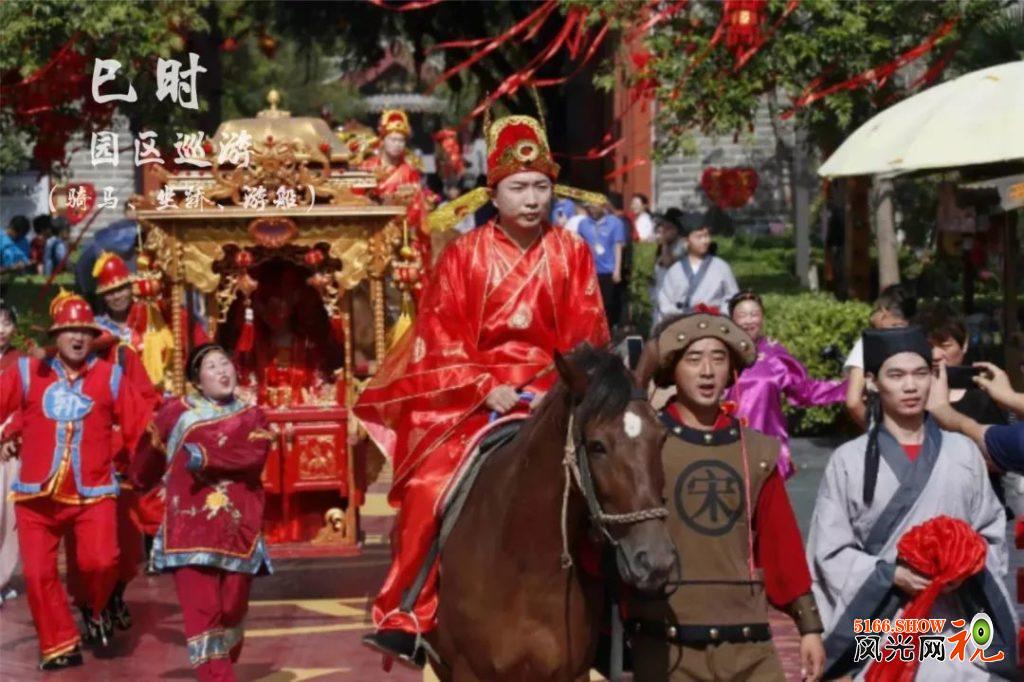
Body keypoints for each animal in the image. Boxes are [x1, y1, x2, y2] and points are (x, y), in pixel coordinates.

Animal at [429, 344, 676, 681]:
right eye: (597, 446)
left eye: (661, 437)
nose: (656, 560)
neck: (524, 565)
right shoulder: (469, 670)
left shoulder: (573, 671)